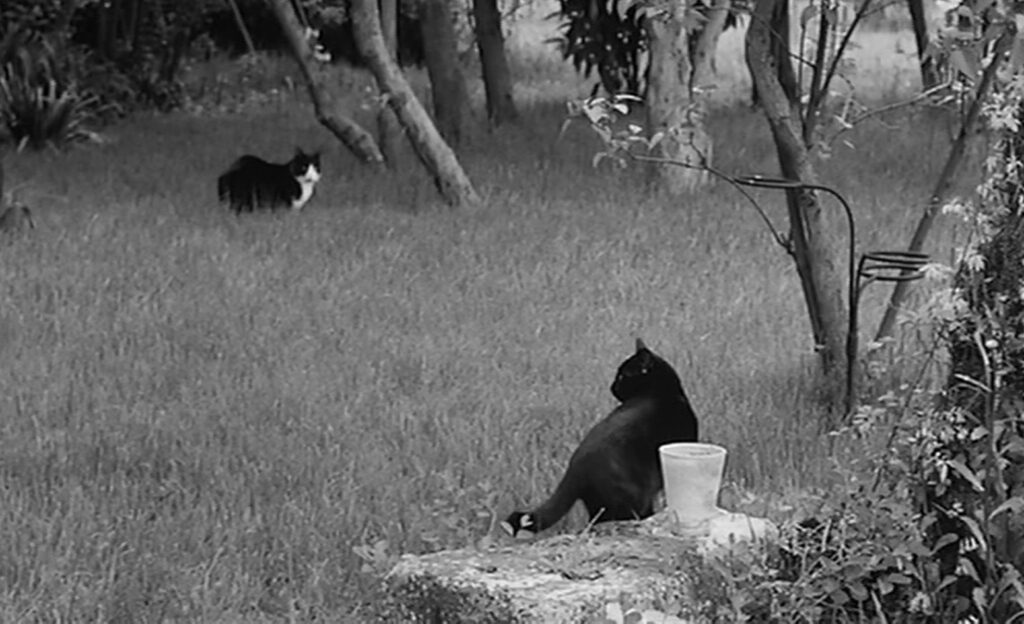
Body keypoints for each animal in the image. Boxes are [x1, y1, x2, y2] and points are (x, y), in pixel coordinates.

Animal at [499, 338, 700, 536]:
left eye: (622, 376)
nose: (611, 387)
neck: (663, 392)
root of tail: (575, 468)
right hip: (633, 501)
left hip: (600, 506)